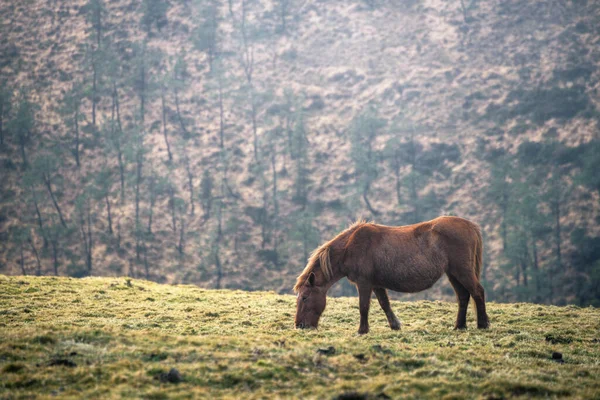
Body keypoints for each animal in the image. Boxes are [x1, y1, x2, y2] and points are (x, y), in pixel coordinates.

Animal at [292, 217, 490, 332]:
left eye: (305, 297)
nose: (300, 325)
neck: (350, 247)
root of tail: (470, 225)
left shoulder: (364, 283)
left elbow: (364, 306)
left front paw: (362, 330)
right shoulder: (377, 284)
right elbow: (384, 304)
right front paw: (395, 325)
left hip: (462, 271)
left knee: (477, 292)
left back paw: (482, 324)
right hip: (453, 274)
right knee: (463, 296)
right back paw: (459, 326)